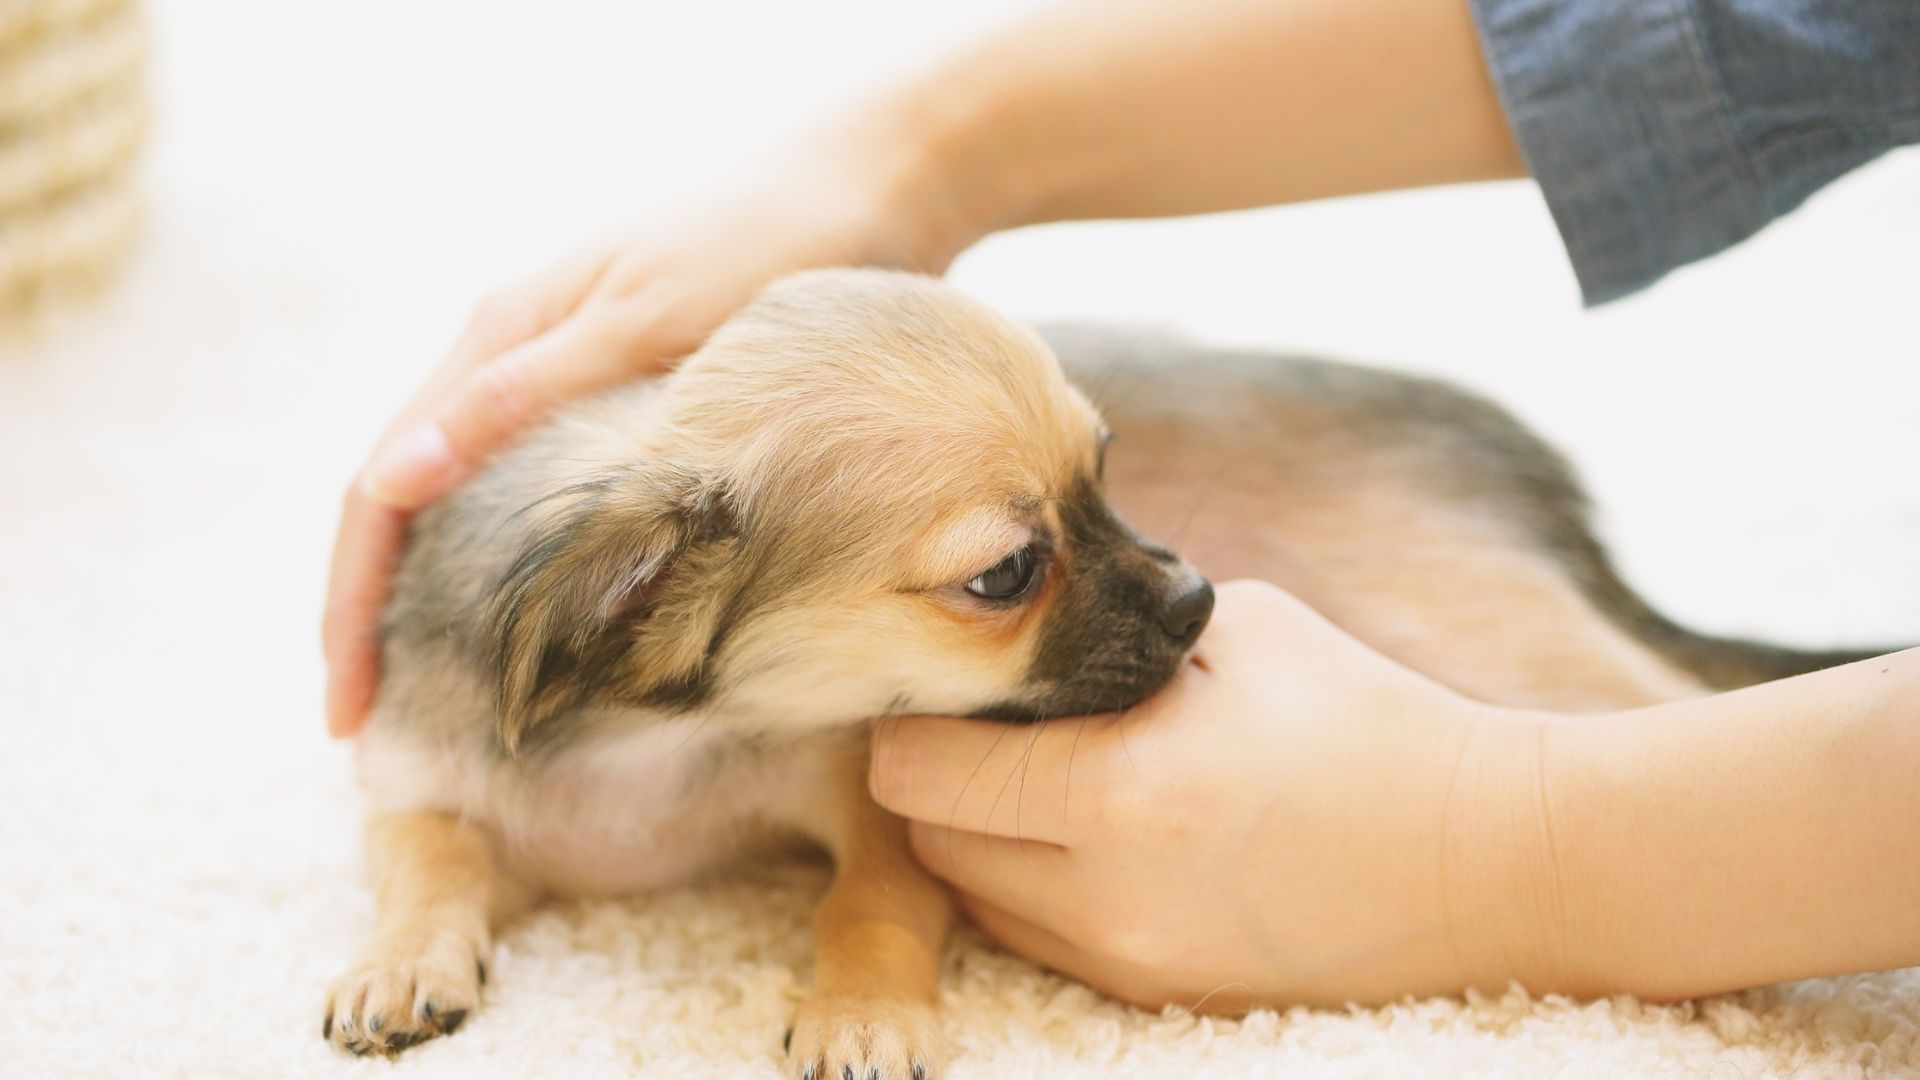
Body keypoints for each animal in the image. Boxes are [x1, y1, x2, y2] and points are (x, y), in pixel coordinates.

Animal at [322, 269, 1205, 1076]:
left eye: (1103, 472)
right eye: (1008, 573)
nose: (1197, 598)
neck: (641, 746)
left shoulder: (866, 800)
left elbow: (867, 904)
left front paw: (863, 1015)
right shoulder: (428, 788)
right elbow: (430, 863)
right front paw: (399, 963)